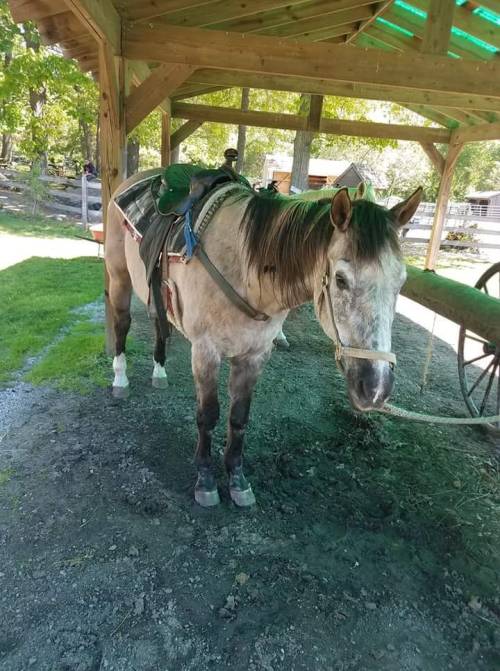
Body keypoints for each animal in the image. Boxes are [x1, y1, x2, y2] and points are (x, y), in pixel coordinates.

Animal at [105, 169, 422, 508]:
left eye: (401, 282)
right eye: (340, 279)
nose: (376, 388)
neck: (245, 272)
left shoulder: (255, 355)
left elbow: (239, 418)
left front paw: (237, 478)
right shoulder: (205, 352)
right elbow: (208, 416)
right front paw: (205, 478)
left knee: (158, 325)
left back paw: (159, 372)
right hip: (119, 278)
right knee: (122, 324)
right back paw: (120, 379)